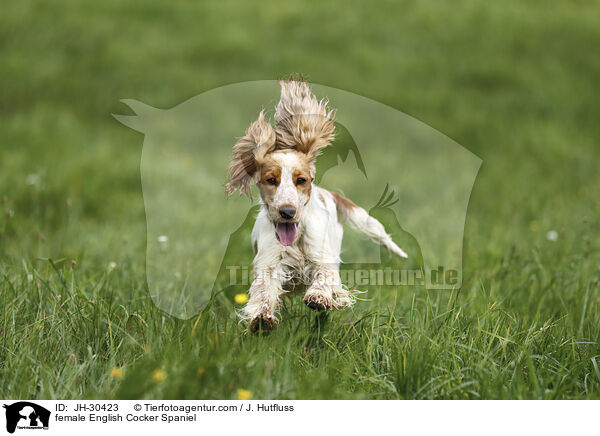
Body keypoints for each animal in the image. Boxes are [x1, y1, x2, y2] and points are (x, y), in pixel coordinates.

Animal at [226, 78, 408, 332]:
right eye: (271, 180)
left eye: (301, 180)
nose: (287, 212)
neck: (296, 237)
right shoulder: (269, 263)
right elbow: (264, 291)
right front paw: (261, 318)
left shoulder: (323, 258)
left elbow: (325, 278)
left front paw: (319, 298)